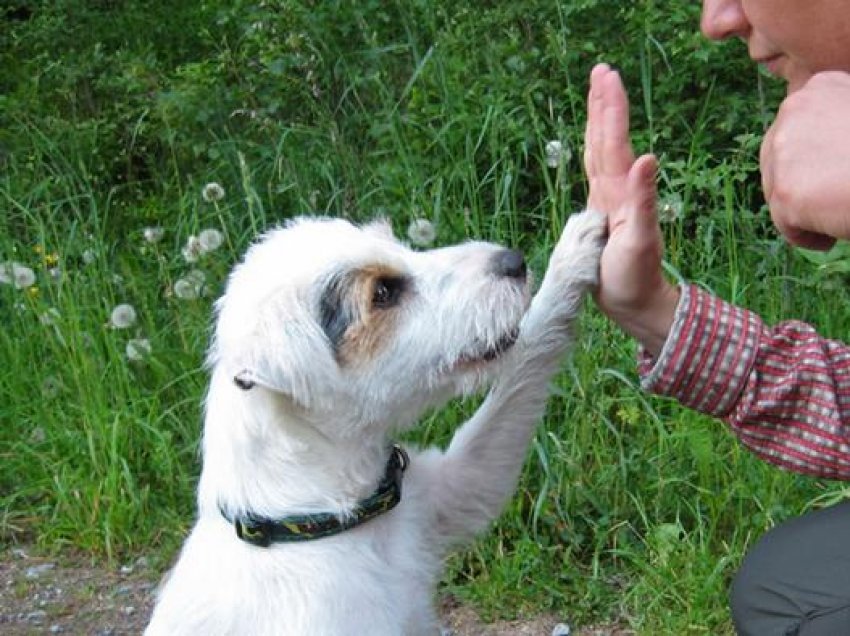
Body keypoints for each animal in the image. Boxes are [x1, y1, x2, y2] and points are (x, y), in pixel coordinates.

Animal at [147, 210, 604, 636]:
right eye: (382, 292)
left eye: (398, 243)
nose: (513, 260)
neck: (313, 520)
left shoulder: (456, 488)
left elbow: (528, 360)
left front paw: (574, 252)